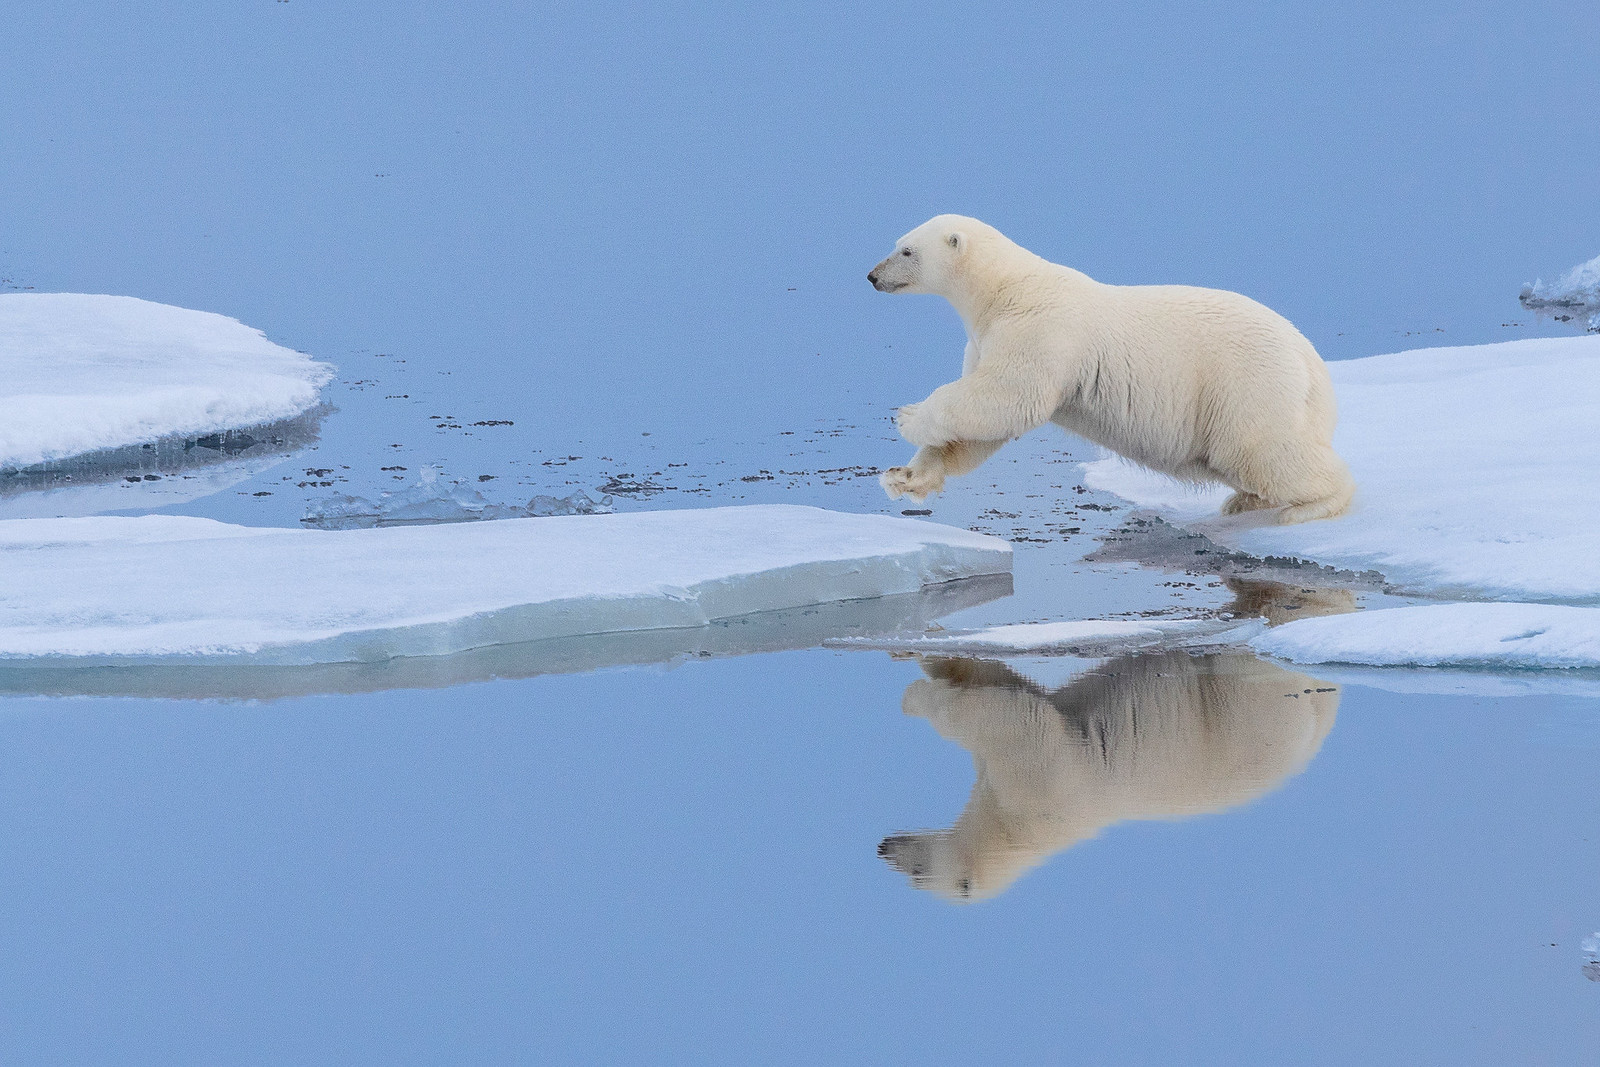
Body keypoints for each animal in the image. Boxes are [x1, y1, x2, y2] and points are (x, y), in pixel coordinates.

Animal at [868, 215, 1355, 524]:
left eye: (906, 250)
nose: (872, 276)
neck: (1004, 289)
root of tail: (1311, 362)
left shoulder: (1039, 330)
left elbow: (1007, 397)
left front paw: (908, 417)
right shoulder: (987, 339)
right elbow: (981, 428)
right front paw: (903, 477)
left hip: (1246, 383)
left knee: (1262, 450)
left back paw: (1311, 505)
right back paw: (1243, 502)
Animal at [878, 651, 1340, 901]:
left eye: (917, 875)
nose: (884, 848)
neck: (1012, 832)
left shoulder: (1038, 776)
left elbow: (991, 712)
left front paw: (914, 697)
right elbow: (993, 678)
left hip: (1244, 701)